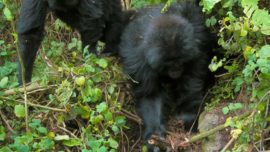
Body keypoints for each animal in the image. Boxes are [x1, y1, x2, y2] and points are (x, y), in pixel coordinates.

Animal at [119, 0, 214, 148]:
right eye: (169, 64)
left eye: (180, 62)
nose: (176, 70)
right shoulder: (139, 62)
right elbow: (150, 95)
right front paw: (155, 134)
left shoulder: (196, 44)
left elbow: (191, 82)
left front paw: (187, 117)